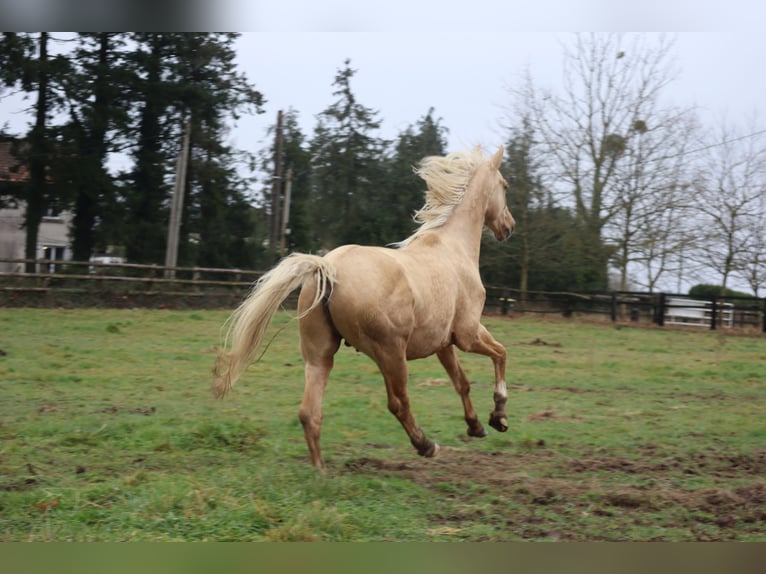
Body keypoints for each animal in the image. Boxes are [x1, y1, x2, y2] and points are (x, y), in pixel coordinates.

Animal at [213, 146, 520, 470]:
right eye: (505, 185)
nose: (509, 226)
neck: (452, 247)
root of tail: (328, 267)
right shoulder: (467, 334)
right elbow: (500, 354)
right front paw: (499, 417)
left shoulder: (443, 343)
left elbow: (462, 382)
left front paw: (476, 426)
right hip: (391, 353)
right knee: (398, 403)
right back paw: (426, 445)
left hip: (322, 355)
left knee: (309, 412)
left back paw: (320, 471)